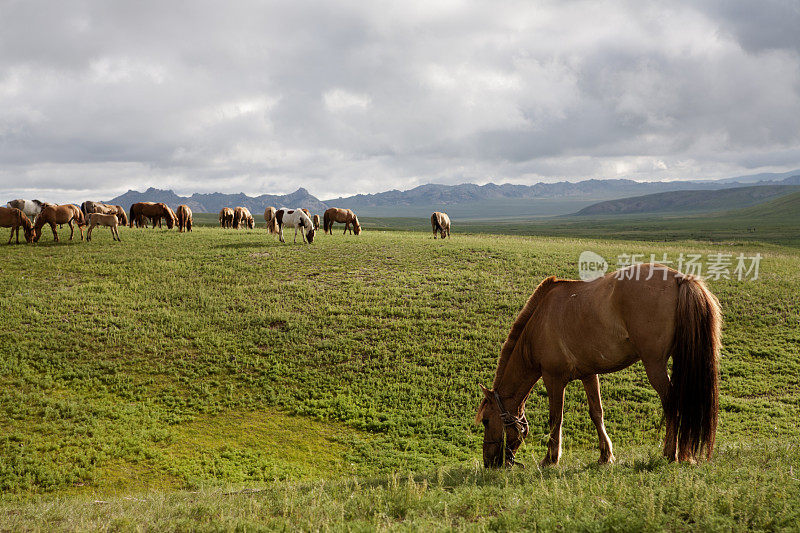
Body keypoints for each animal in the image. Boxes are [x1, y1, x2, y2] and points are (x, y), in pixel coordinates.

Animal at [478, 264, 720, 468]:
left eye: (486, 421)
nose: (489, 462)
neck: (539, 323)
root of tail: (680, 279)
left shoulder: (553, 379)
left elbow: (556, 418)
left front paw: (550, 458)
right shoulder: (588, 374)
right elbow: (597, 413)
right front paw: (605, 455)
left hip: (654, 365)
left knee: (670, 404)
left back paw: (670, 453)